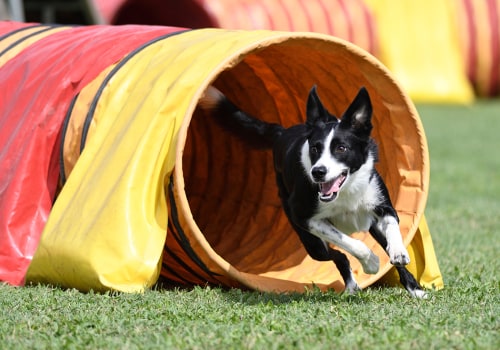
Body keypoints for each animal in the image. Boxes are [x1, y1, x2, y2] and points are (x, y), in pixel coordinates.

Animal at [199, 85, 426, 298]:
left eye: (341, 148)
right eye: (315, 148)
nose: (318, 172)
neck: (346, 191)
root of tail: (282, 132)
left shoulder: (381, 206)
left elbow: (393, 230)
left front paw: (400, 257)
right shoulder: (305, 218)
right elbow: (352, 244)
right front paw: (371, 262)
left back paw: (412, 287)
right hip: (311, 242)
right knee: (339, 256)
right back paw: (352, 285)